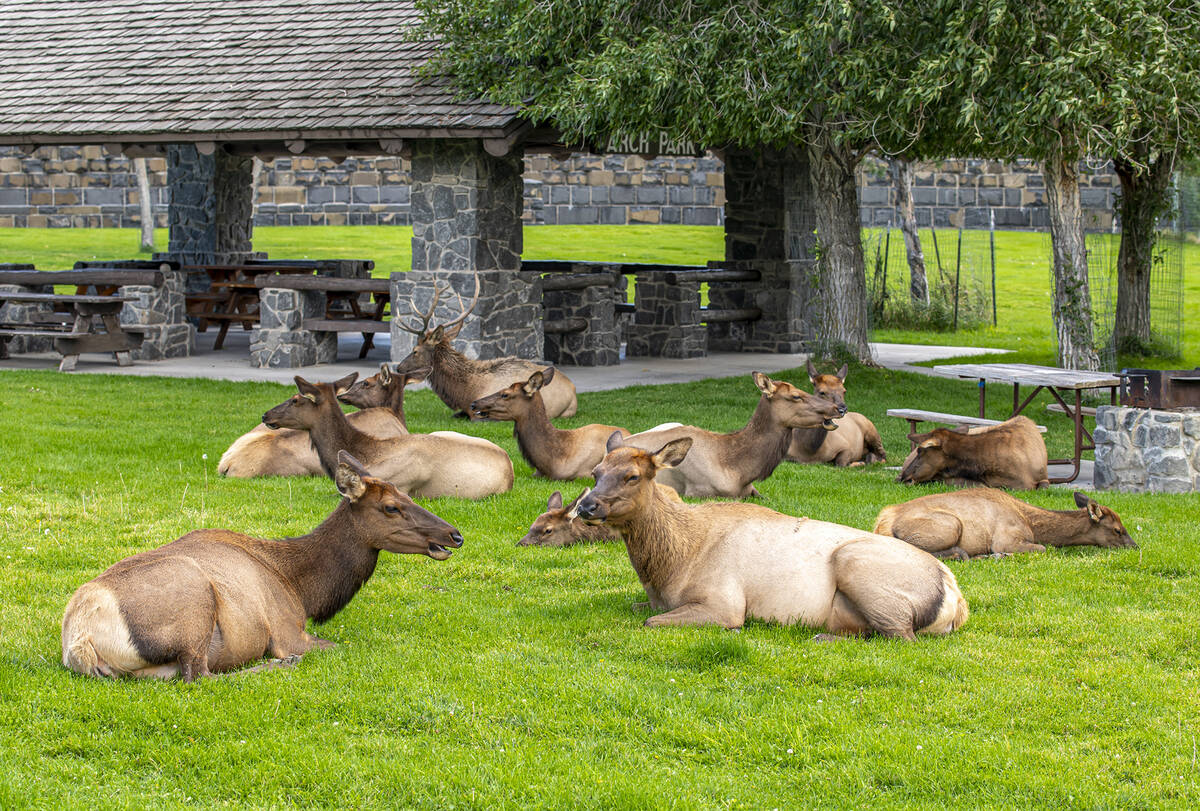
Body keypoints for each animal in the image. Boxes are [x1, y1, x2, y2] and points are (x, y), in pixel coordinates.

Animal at [61, 451, 464, 681]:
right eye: (391, 506)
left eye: (408, 494)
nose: (455, 534)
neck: (301, 588)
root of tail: (79, 640)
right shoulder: (287, 631)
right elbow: (336, 646)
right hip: (195, 604)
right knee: (200, 676)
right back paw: (282, 667)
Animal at [571, 436, 969, 639]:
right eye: (596, 471)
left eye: (633, 476)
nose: (586, 507)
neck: (668, 569)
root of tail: (956, 599)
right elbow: (638, 609)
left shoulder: (724, 603)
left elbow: (650, 622)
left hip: (858, 566)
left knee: (901, 635)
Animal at [873, 488, 1136, 560]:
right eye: (1117, 530)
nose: (1135, 546)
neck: (1033, 524)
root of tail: (882, 522)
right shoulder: (1006, 538)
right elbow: (1043, 548)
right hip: (952, 524)